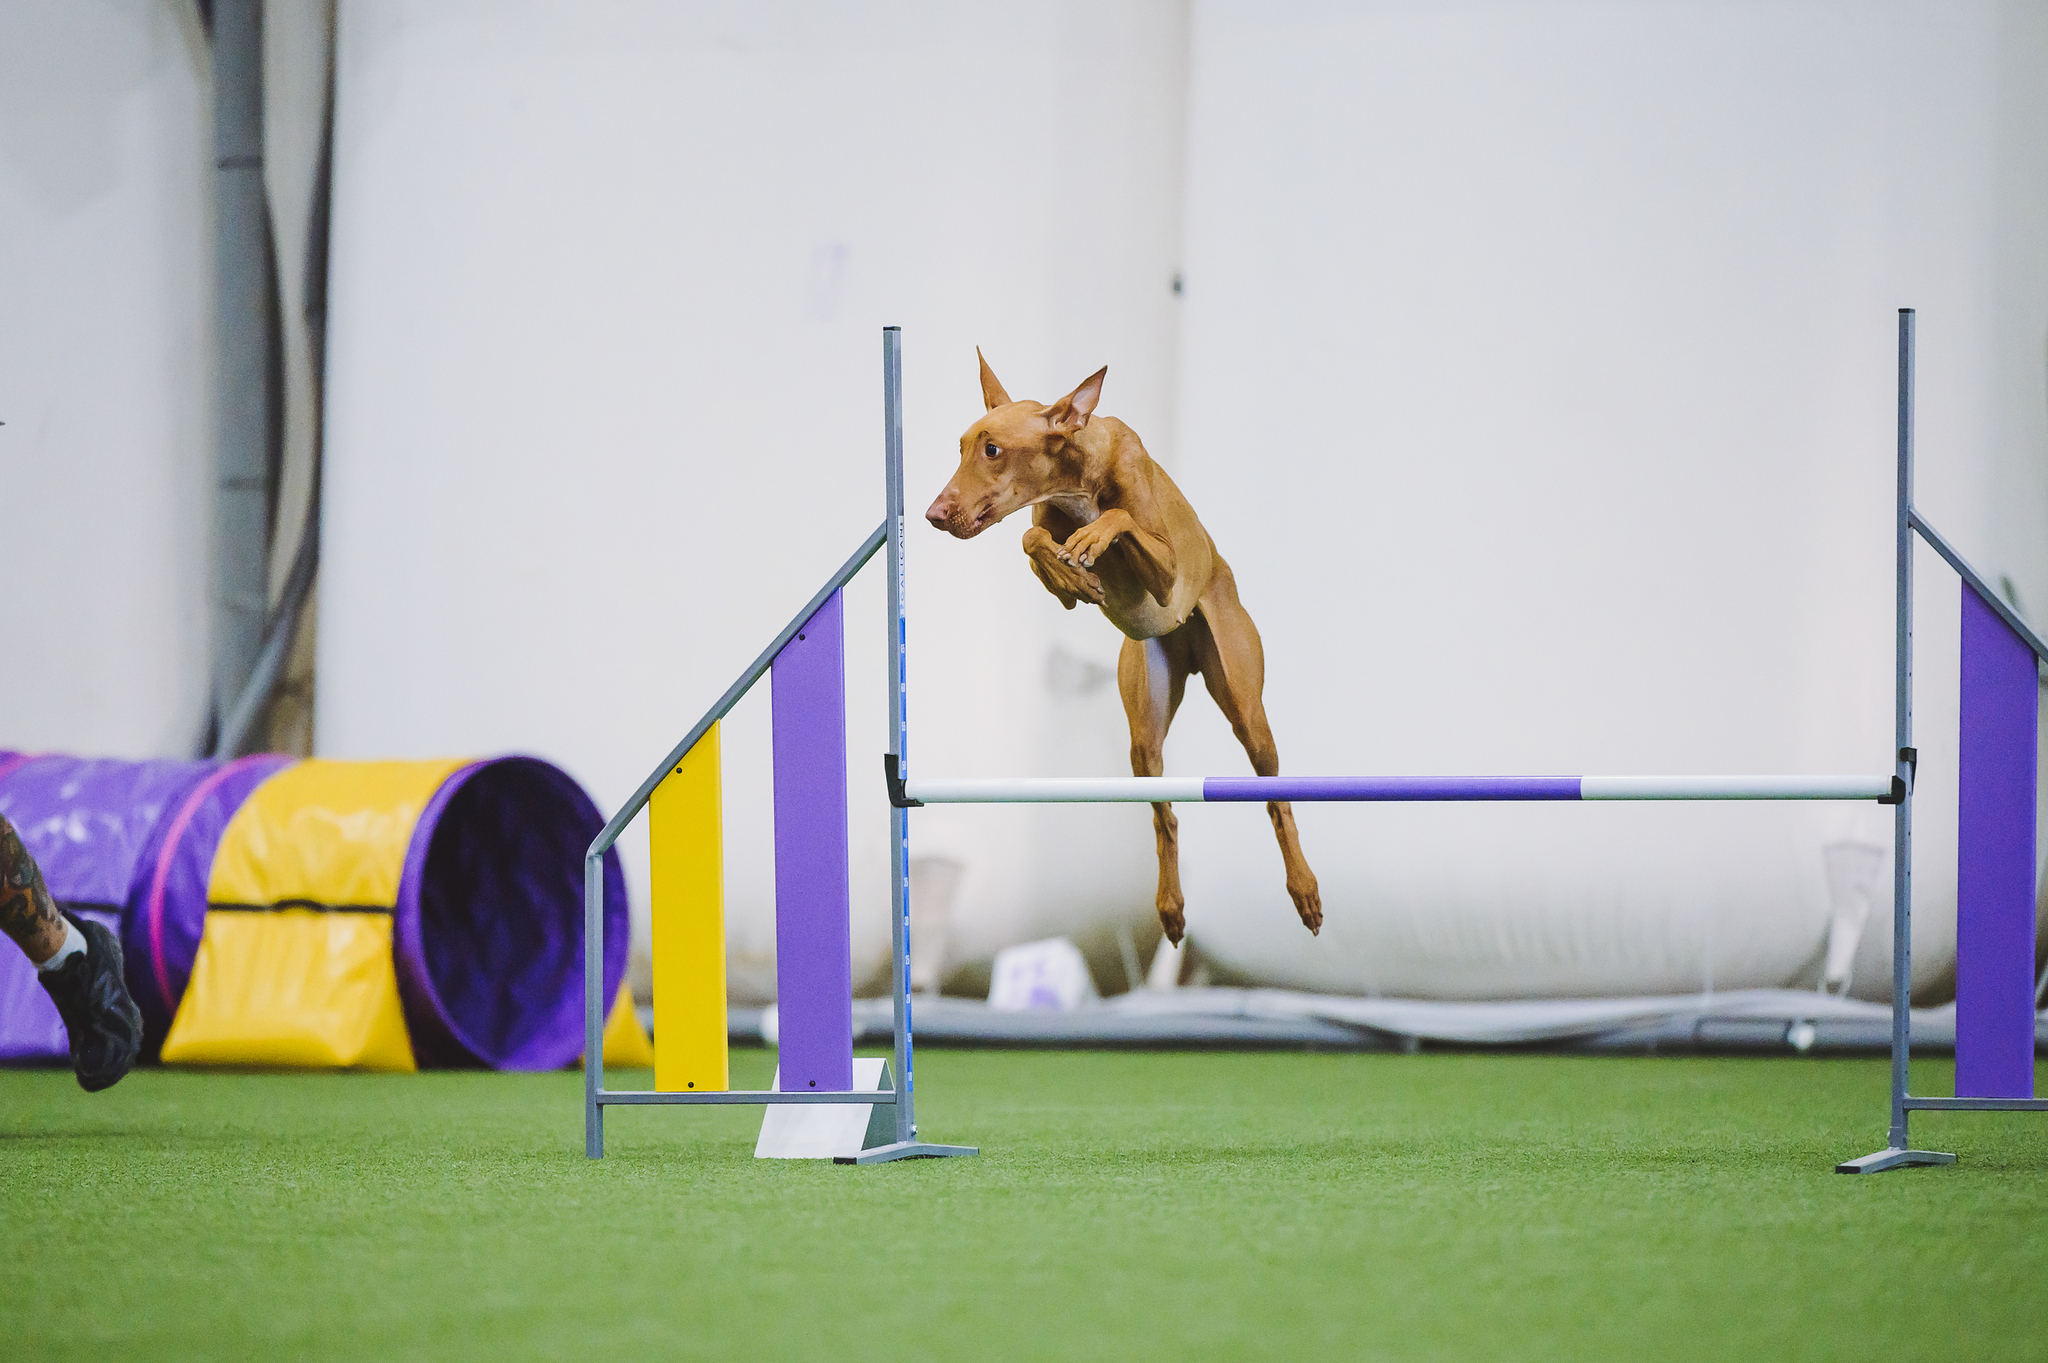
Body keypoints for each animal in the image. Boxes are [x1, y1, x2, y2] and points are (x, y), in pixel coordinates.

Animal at [921, 352, 1318, 945]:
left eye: (992, 450)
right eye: (962, 447)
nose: (933, 514)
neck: (1077, 479)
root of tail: (1188, 653)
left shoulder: (1168, 575)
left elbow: (1121, 519)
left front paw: (1091, 538)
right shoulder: (1057, 577)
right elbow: (1032, 542)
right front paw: (1070, 571)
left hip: (1246, 705)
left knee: (1276, 799)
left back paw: (1303, 888)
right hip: (1144, 735)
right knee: (1164, 816)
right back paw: (1171, 907)